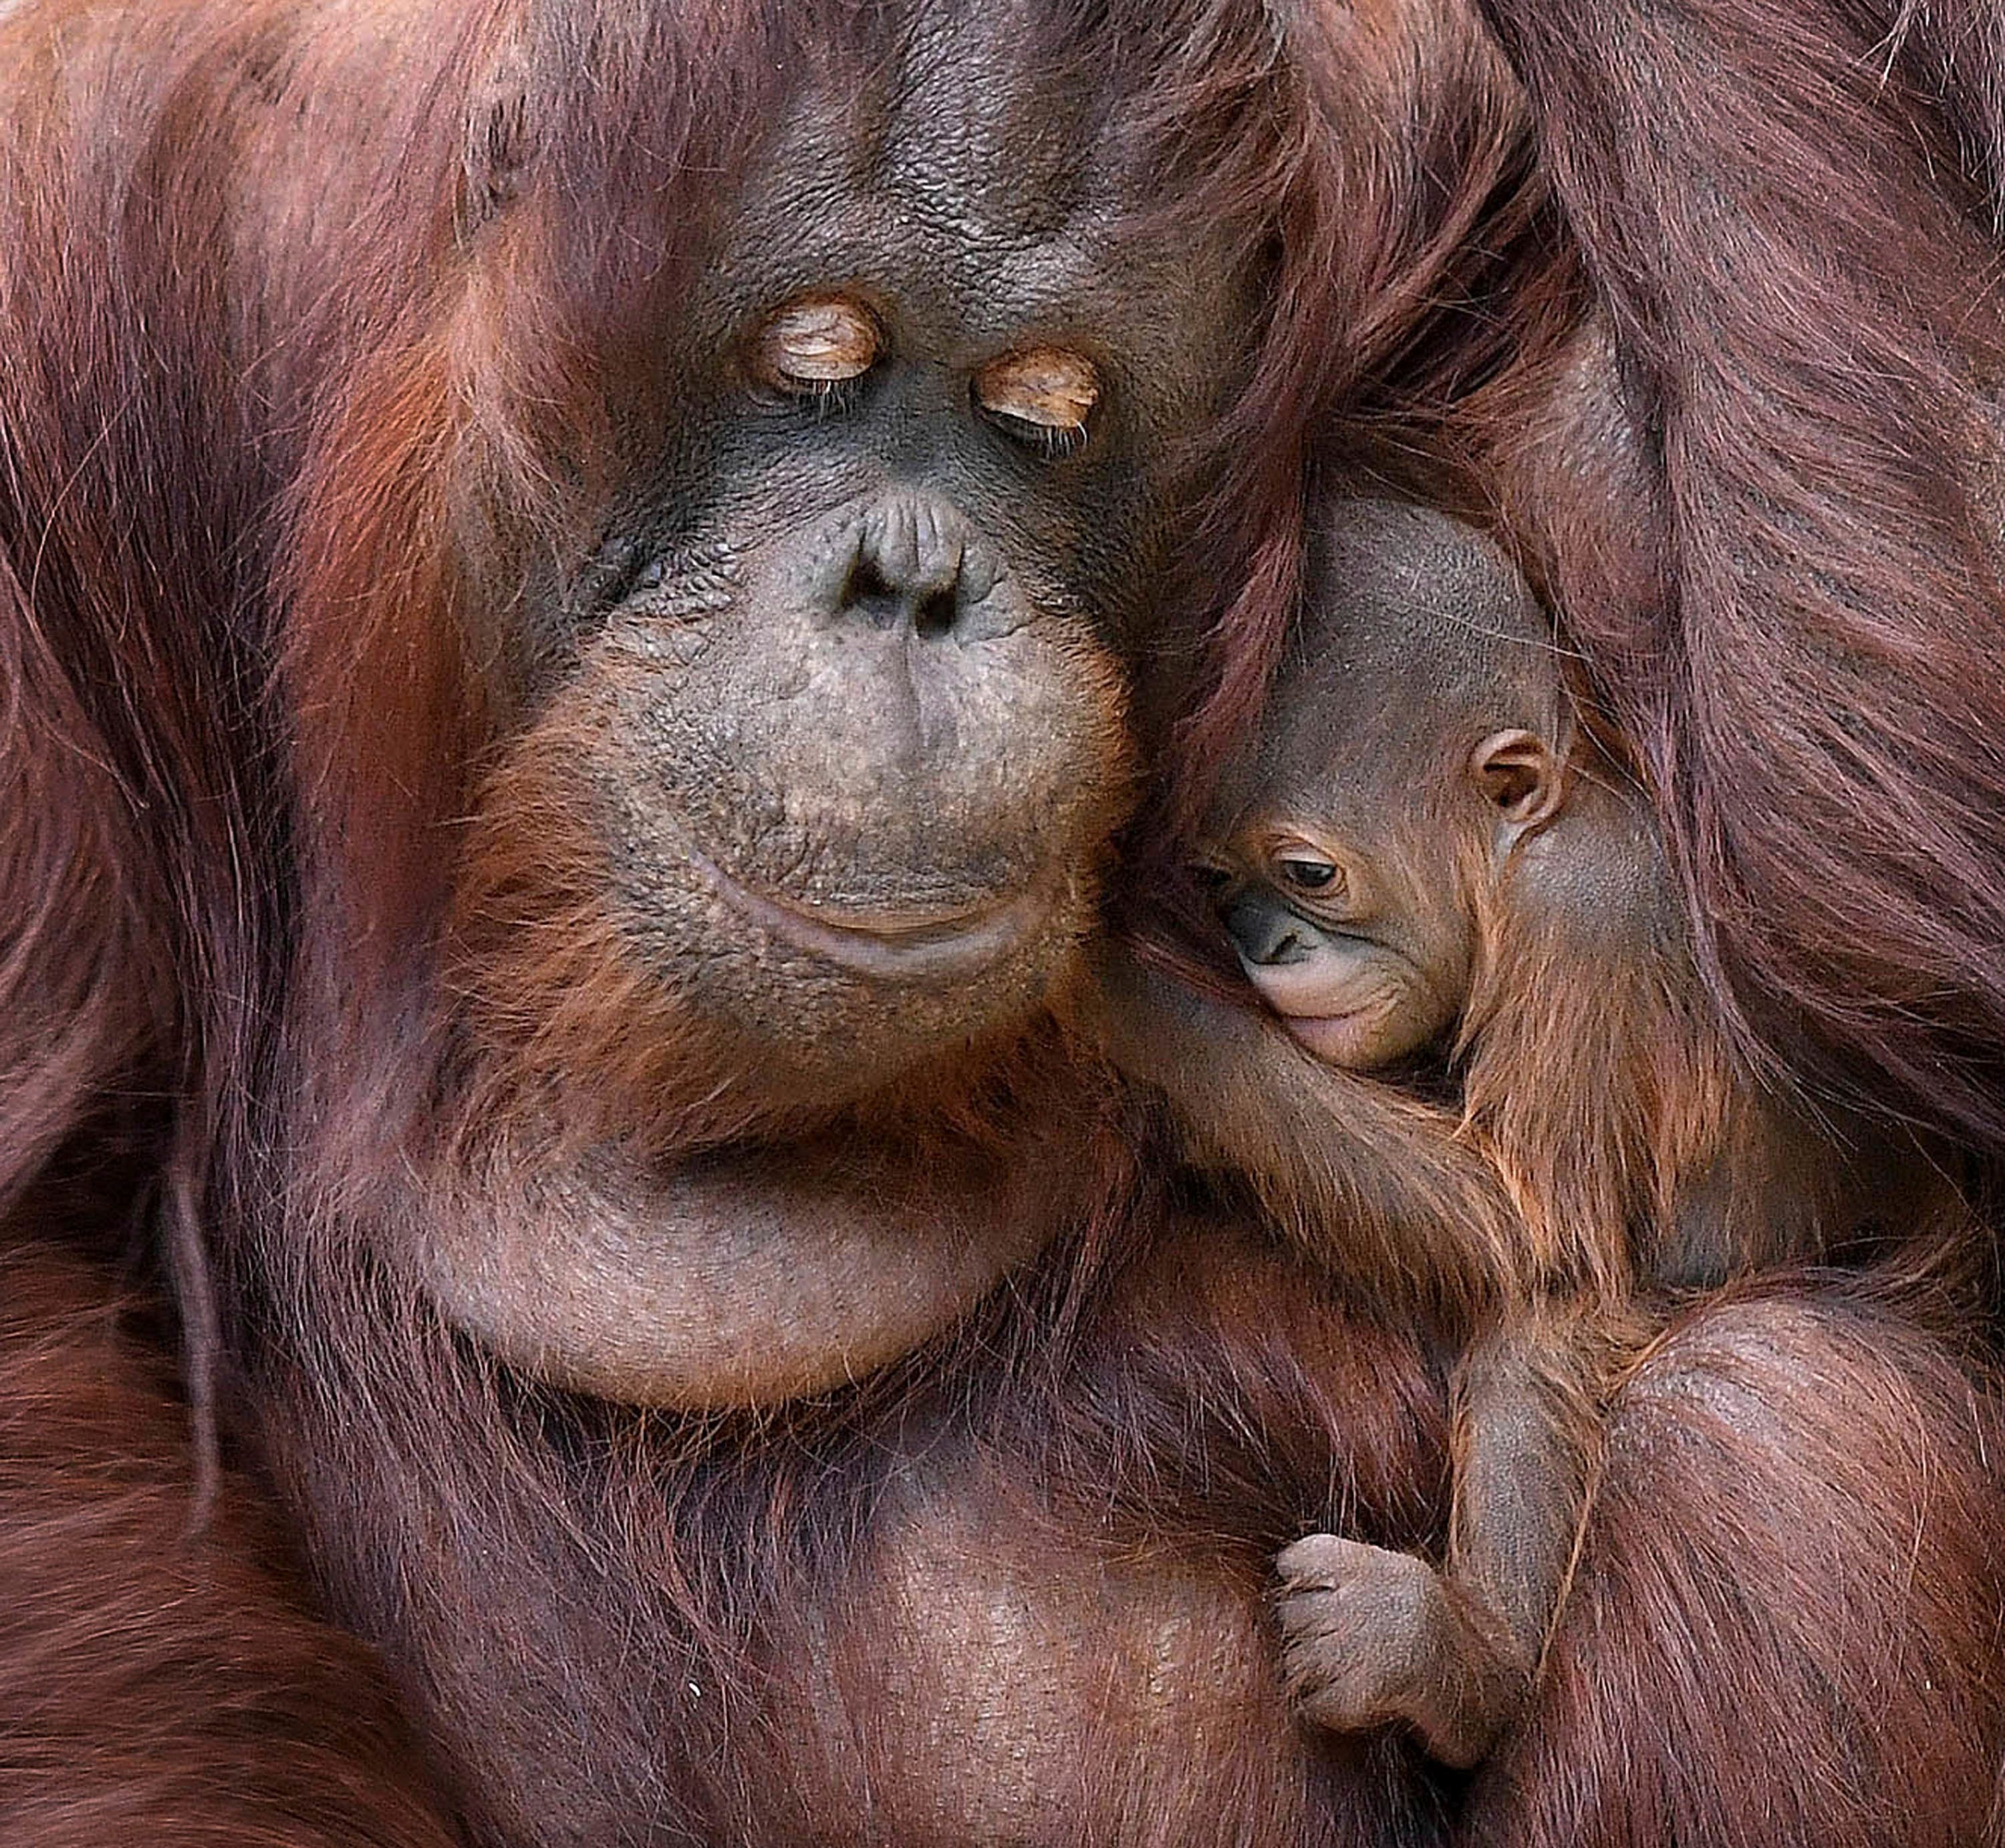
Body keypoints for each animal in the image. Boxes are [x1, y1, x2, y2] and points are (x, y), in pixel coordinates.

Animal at [1090, 497, 1969, 1770]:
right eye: (1219, 882)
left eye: (1308, 873)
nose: (1265, 946)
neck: (1524, 855)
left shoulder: (1581, 922)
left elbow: (1533, 1234)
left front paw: (1130, 1003)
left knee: (1543, 1324)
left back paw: (1455, 1665)